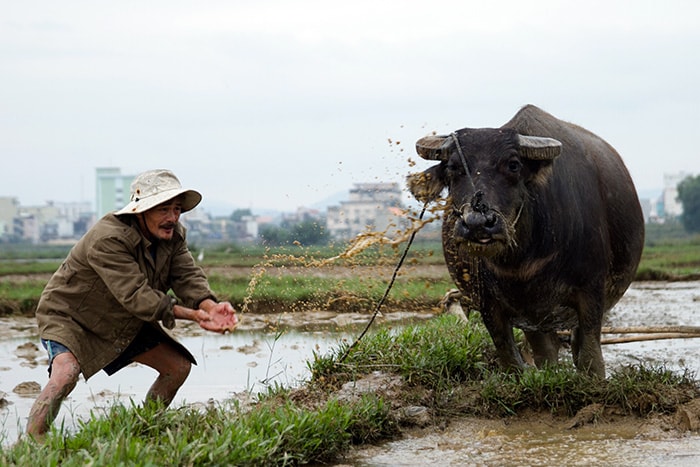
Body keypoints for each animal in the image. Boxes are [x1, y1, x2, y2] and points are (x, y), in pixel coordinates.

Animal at [408, 104, 644, 378]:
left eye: (513, 165)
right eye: (453, 167)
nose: (478, 222)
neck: (522, 259)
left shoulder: (592, 290)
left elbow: (590, 357)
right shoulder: (490, 303)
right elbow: (510, 357)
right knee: (545, 352)